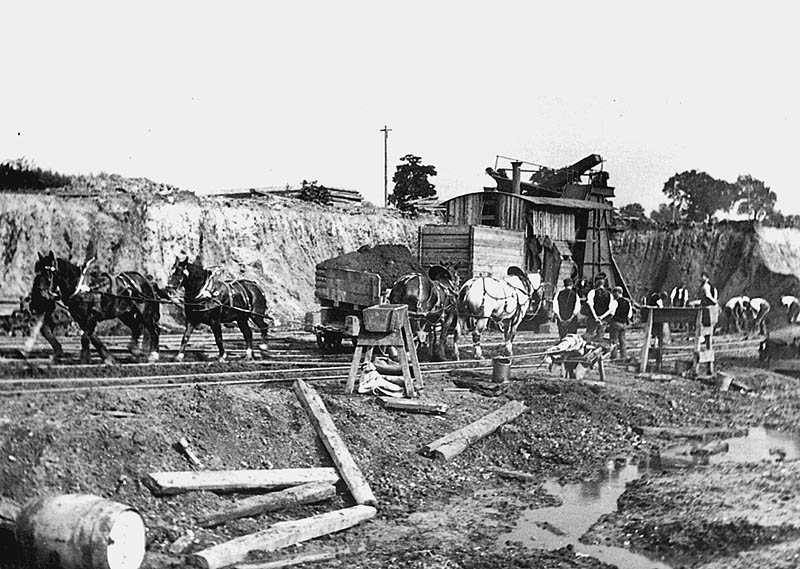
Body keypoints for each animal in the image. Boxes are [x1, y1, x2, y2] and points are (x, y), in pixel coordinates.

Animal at [31, 252, 161, 364]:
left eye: (48, 274)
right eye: (37, 272)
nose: (40, 296)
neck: (80, 288)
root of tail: (145, 281)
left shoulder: (92, 316)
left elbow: (85, 337)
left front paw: (85, 359)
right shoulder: (81, 319)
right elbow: (92, 338)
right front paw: (107, 358)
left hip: (145, 313)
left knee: (154, 331)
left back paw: (152, 355)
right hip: (125, 314)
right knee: (137, 328)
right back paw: (135, 351)